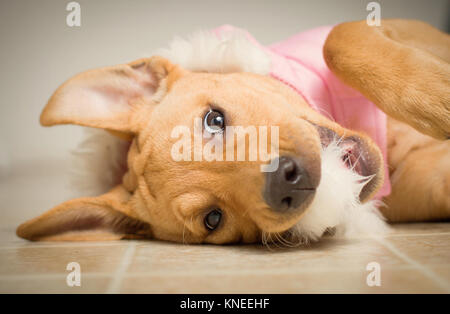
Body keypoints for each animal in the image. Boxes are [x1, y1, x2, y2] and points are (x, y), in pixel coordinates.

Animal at [15, 19, 448, 245]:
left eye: (214, 120)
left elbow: (338, 38)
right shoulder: (424, 185)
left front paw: (436, 98)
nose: (288, 182)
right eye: (213, 219)